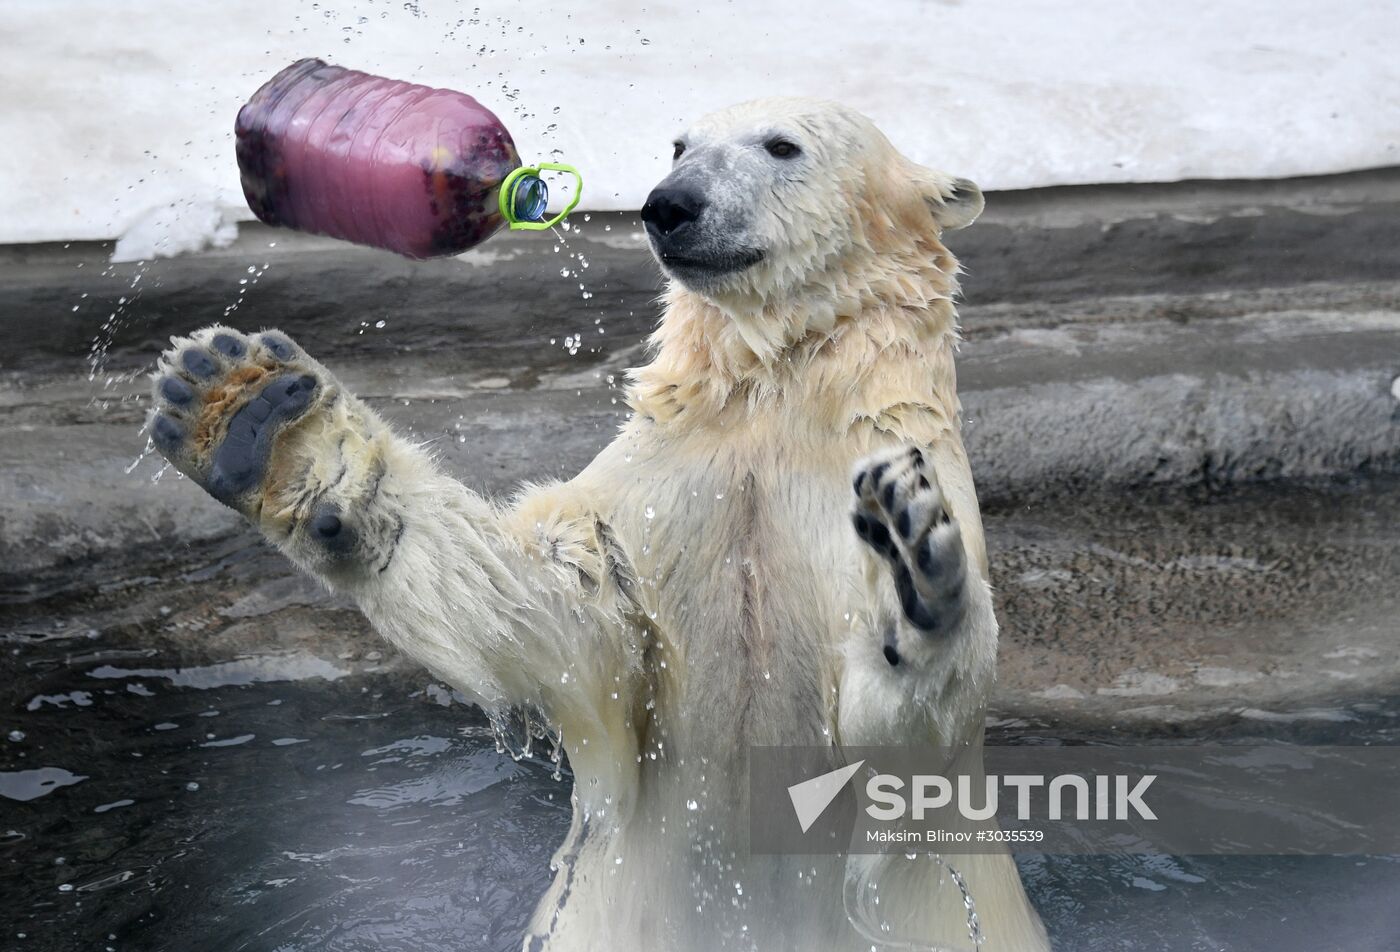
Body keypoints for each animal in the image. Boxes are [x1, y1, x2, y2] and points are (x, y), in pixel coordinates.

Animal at [150, 98, 1052, 952]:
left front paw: (910, 566)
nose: (670, 205)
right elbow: (560, 615)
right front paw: (258, 420)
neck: (779, 398)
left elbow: (899, 732)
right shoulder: (655, 490)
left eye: (782, 146)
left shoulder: (864, 481)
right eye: (680, 145)